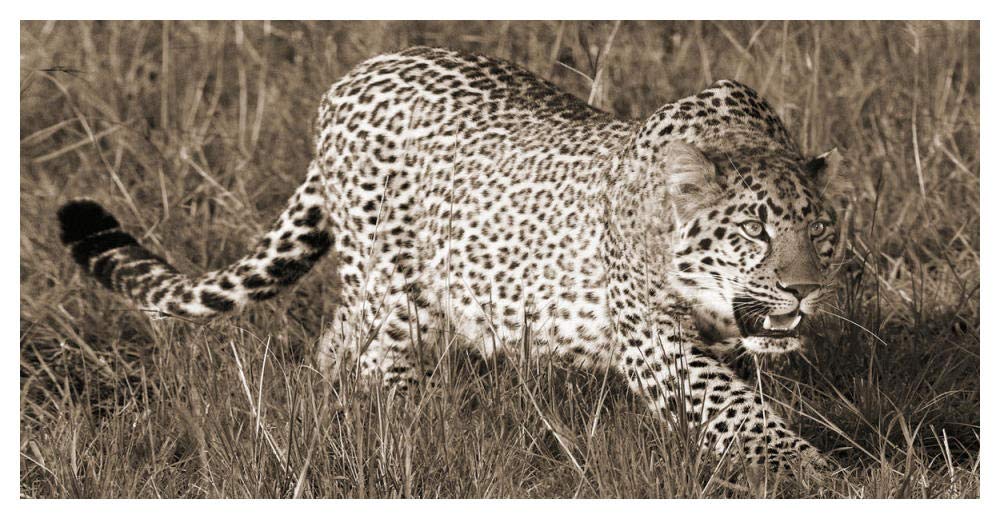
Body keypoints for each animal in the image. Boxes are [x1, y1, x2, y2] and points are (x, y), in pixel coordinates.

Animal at [57, 46, 851, 477]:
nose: (804, 290)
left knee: (336, 344)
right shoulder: (656, 342)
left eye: (820, 232)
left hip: (380, 291)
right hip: (399, 289)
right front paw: (810, 472)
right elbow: (734, 410)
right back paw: (410, 432)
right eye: (752, 230)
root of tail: (347, 81)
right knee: (376, 360)